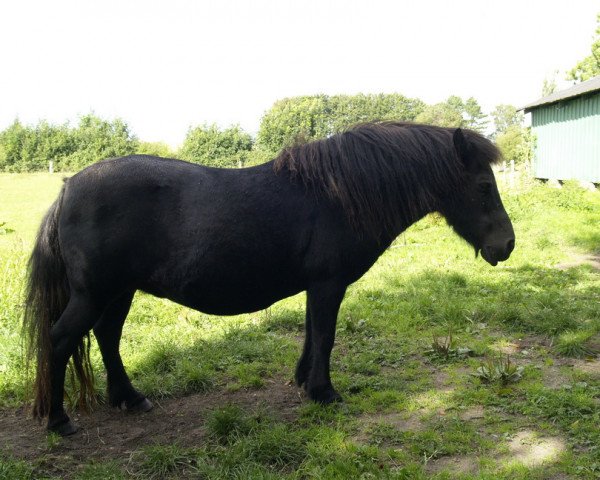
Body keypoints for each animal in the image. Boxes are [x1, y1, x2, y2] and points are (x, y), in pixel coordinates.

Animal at [23, 123, 516, 436]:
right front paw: (324, 392)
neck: (338, 194)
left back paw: (129, 397)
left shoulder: (317, 286)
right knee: (62, 339)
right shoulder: (328, 284)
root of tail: (68, 187)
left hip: (118, 292)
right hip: (93, 294)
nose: (507, 245)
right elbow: (326, 335)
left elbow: (312, 333)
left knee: (106, 336)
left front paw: (304, 382)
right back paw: (59, 421)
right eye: (483, 187)